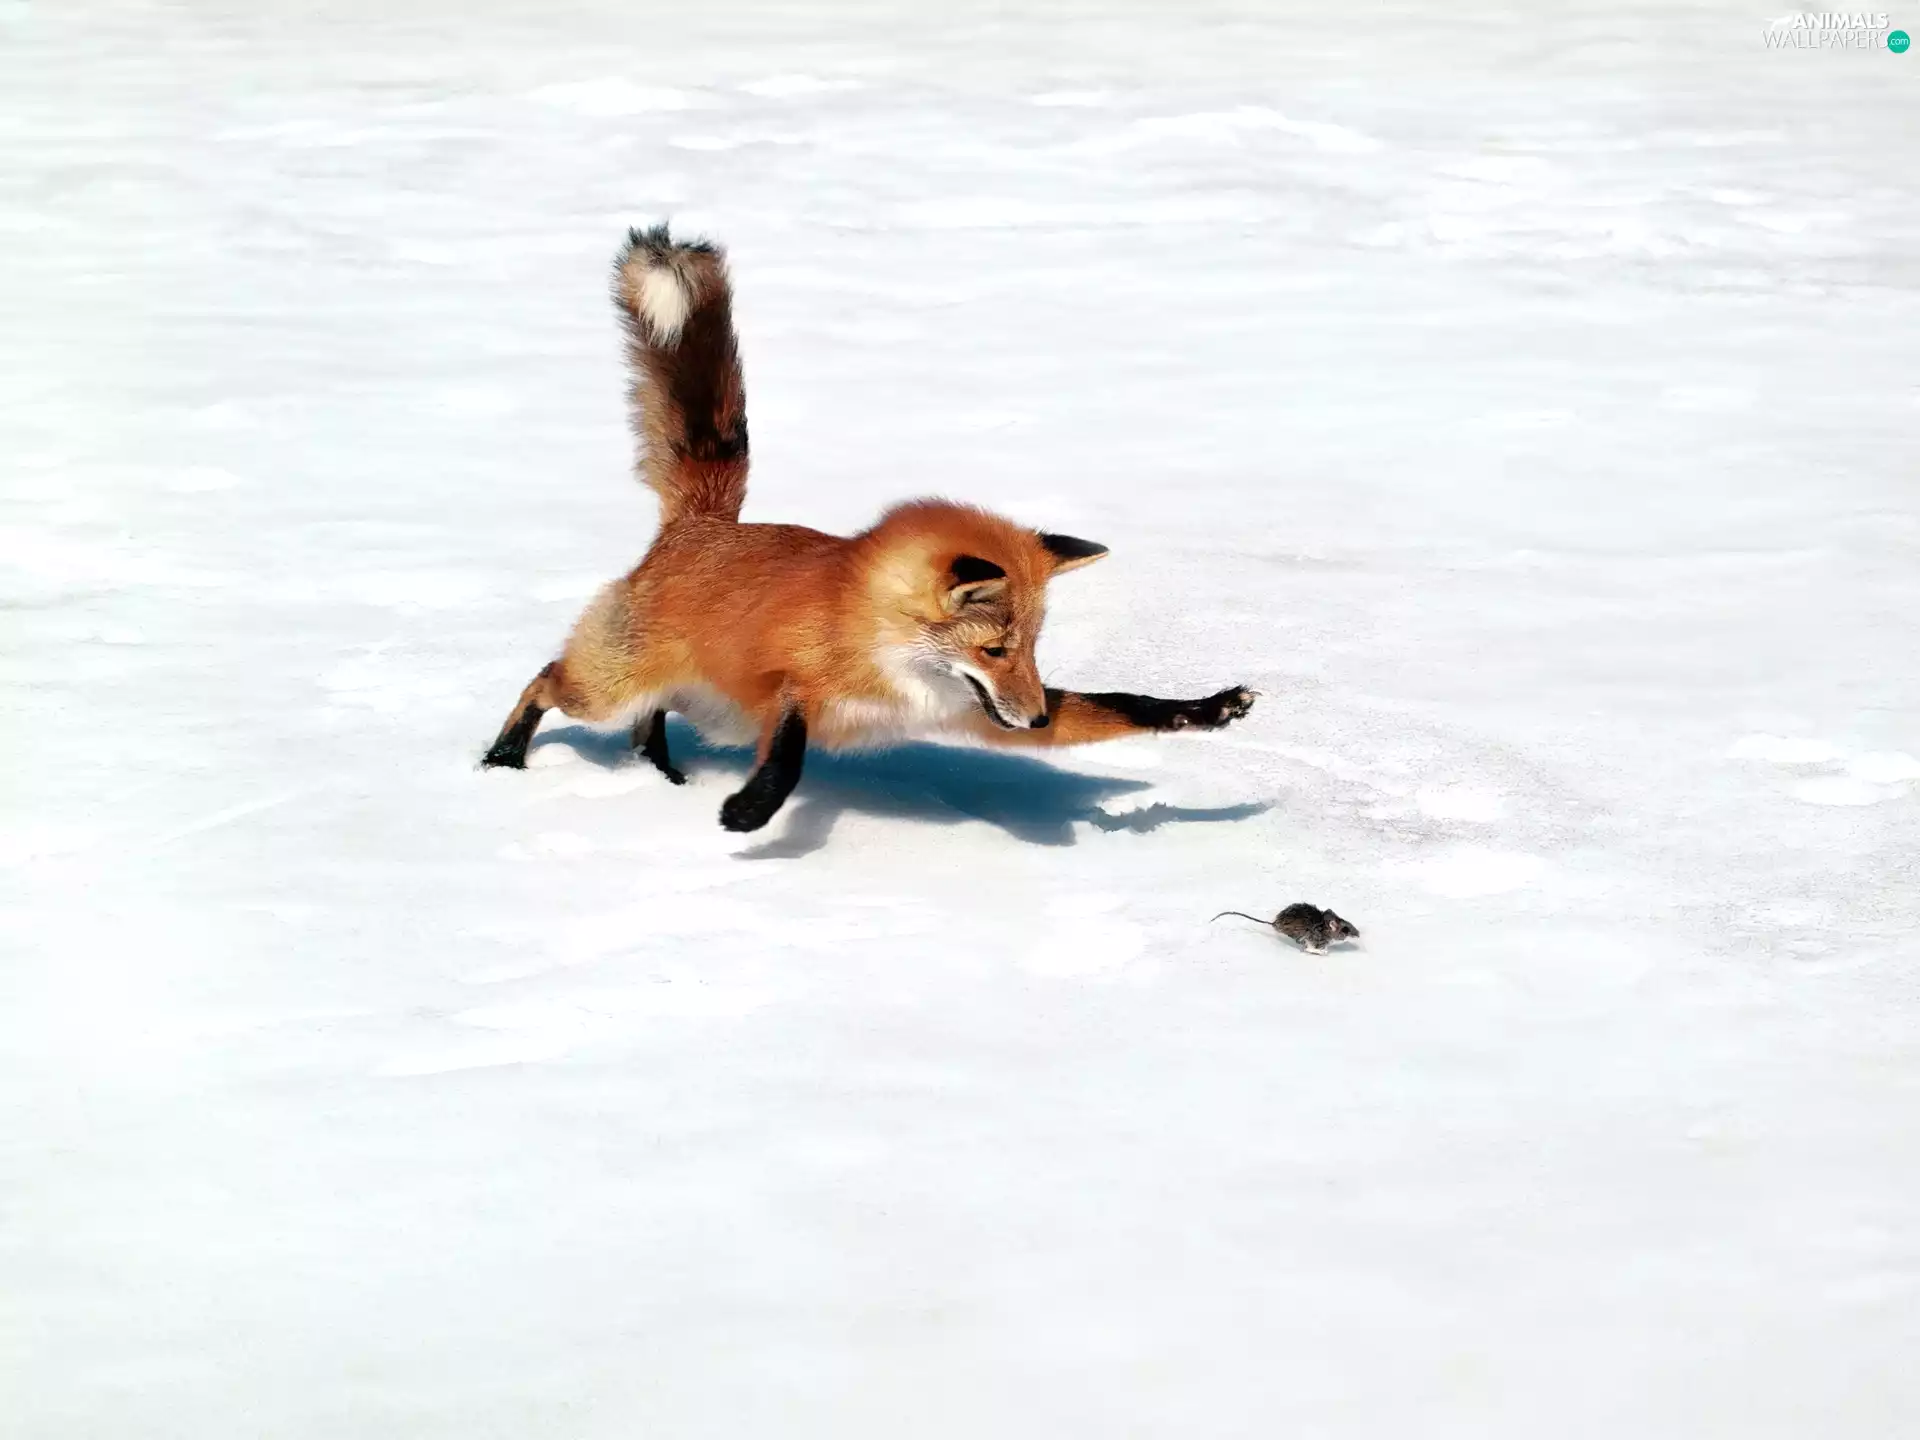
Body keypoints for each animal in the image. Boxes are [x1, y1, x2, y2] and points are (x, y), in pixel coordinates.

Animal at [482, 225, 1257, 832]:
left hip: (681, 699)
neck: (888, 656)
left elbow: (1127, 705)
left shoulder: (971, 712)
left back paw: (660, 778)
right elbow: (791, 751)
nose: (1037, 718)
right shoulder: (789, 685)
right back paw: (502, 758)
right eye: (997, 649)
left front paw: (1209, 709)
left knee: (647, 724)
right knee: (546, 682)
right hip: (608, 688)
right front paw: (752, 810)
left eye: (1034, 649)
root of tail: (701, 524)